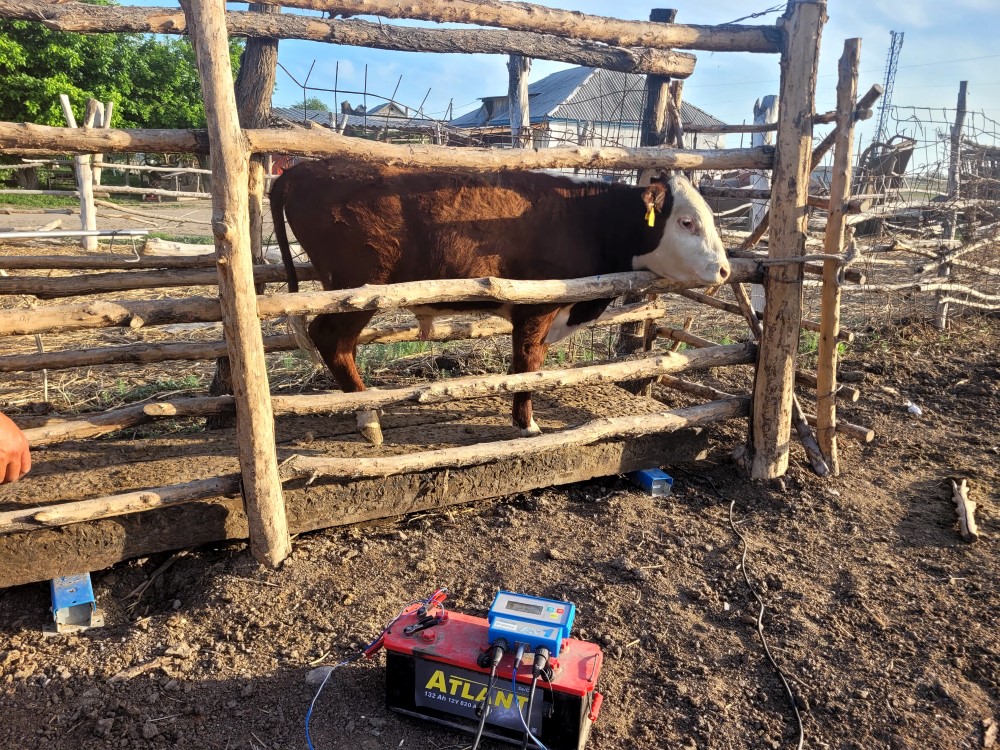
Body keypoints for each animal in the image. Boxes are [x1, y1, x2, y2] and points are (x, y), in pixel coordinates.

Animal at [270, 156, 732, 444]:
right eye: (686, 222)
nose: (725, 271)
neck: (588, 219)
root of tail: (302, 169)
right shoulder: (537, 307)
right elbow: (527, 364)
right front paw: (526, 424)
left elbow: (530, 365)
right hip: (357, 290)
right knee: (332, 340)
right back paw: (369, 419)